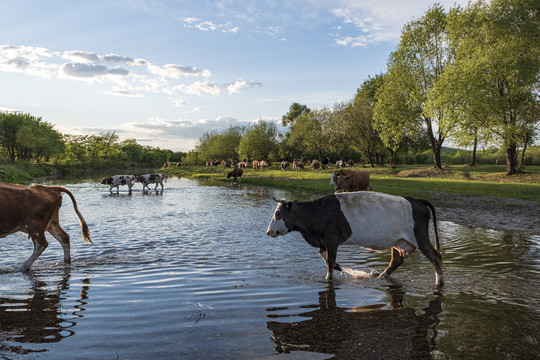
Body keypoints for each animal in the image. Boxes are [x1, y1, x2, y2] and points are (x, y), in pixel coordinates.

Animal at [266, 191, 442, 286]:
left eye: (278, 214)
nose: (268, 231)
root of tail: (415, 200)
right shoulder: (323, 242)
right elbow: (326, 258)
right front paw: (345, 269)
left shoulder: (332, 240)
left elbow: (329, 262)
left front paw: (329, 279)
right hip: (398, 241)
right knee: (396, 260)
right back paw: (379, 276)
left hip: (419, 237)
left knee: (435, 257)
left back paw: (439, 282)